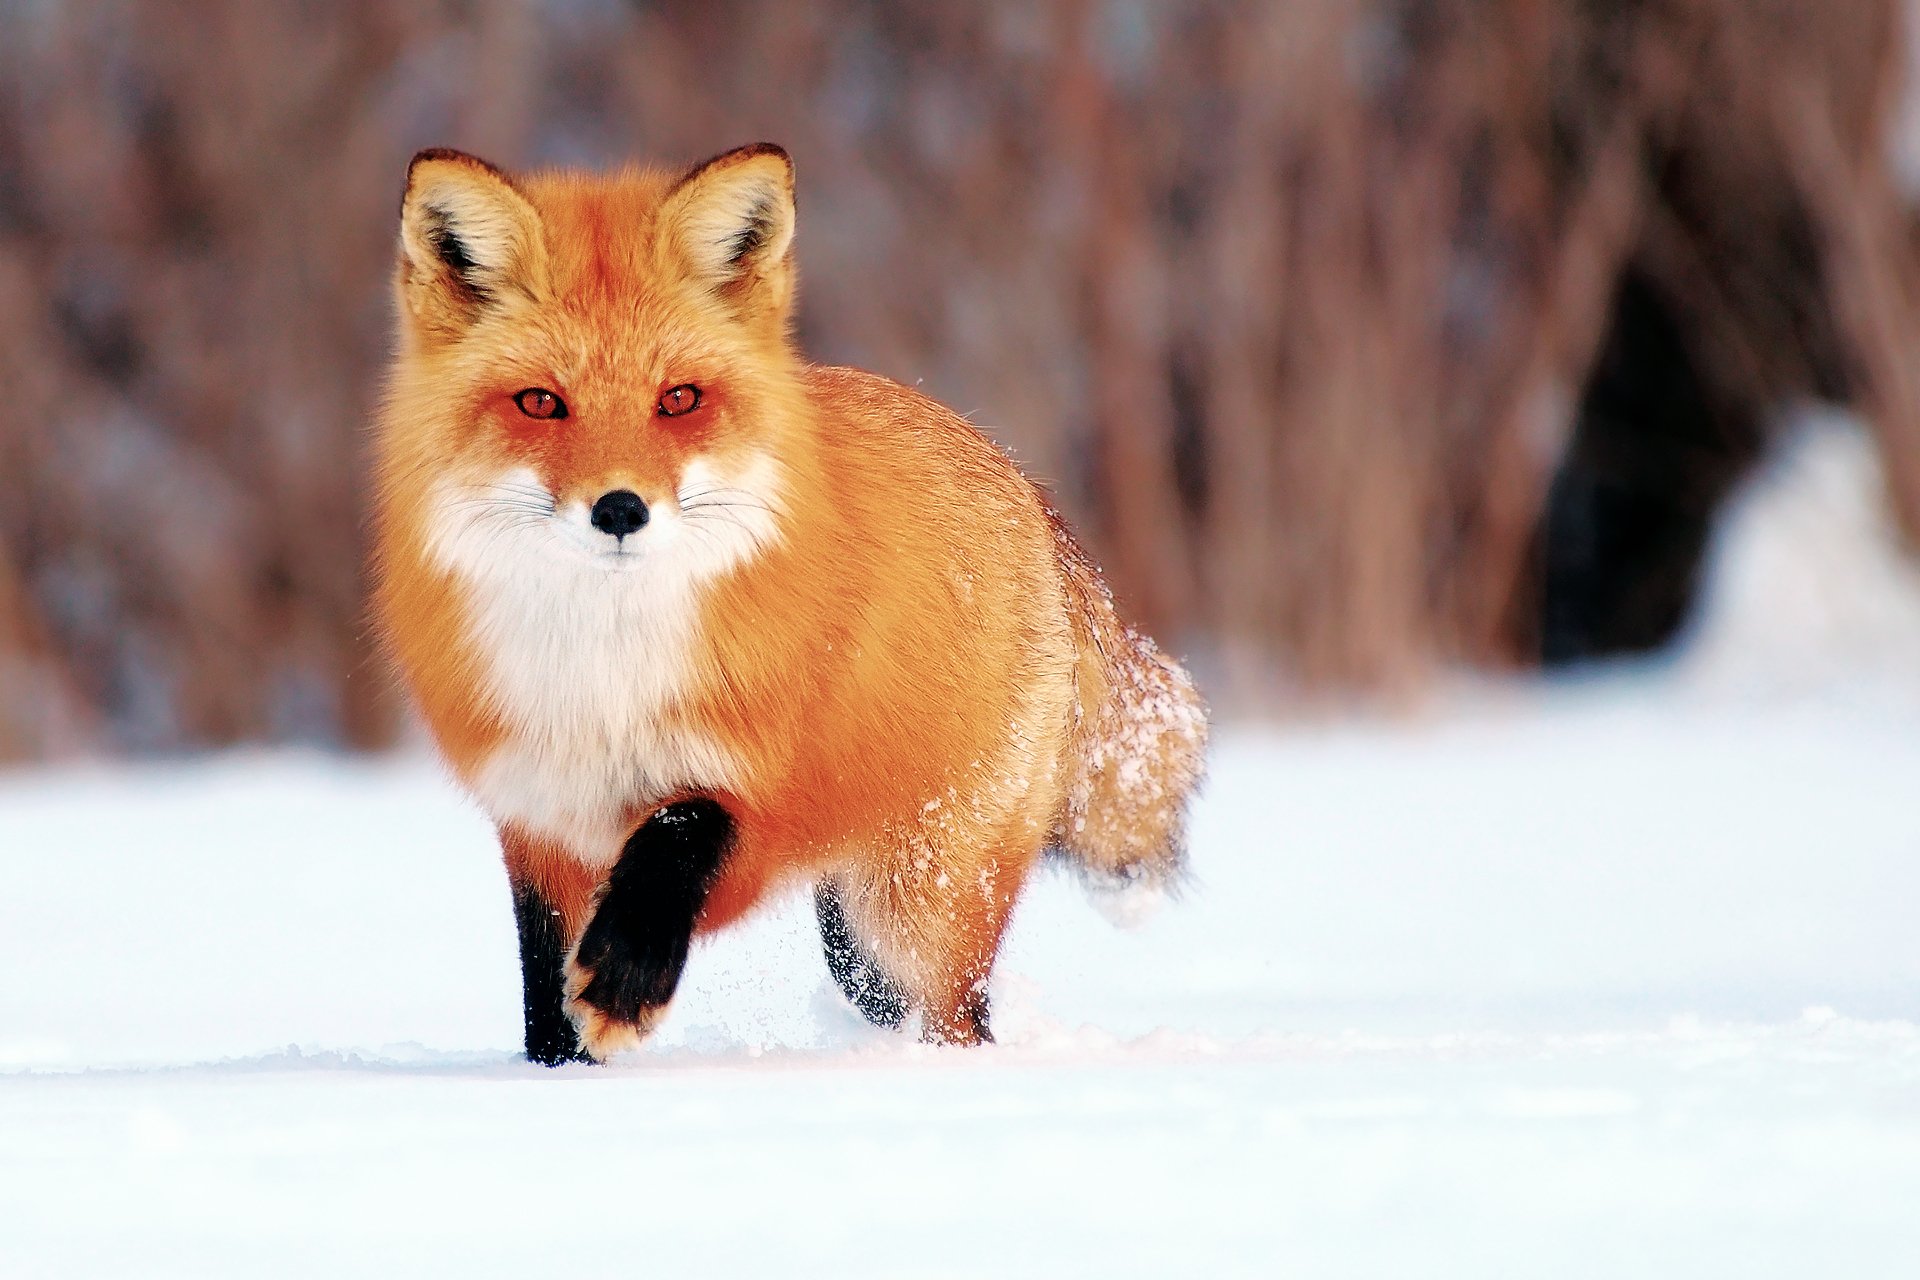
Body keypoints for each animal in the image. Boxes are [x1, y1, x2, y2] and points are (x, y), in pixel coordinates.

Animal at [370, 143, 1207, 1064]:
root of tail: (1023, 483)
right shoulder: (537, 819)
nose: (621, 509)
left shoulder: (759, 786)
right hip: (859, 940)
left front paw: (626, 981)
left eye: (679, 400)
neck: (604, 678)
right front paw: (559, 1073)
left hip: (919, 905)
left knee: (961, 1016)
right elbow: (544, 998)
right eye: (540, 403)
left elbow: (678, 833)